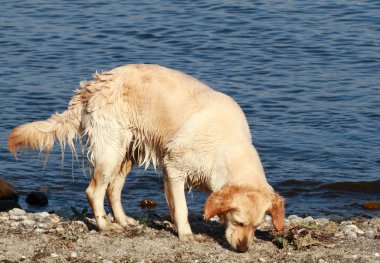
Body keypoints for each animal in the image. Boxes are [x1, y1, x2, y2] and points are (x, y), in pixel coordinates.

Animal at [7, 64, 284, 254]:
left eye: (256, 227)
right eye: (238, 222)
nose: (243, 249)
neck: (226, 144)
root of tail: (92, 85)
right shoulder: (174, 166)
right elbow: (181, 207)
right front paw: (186, 235)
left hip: (128, 151)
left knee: (113, 189)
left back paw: (122, 220)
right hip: (111, 150)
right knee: (95, 191)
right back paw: (106, 226)